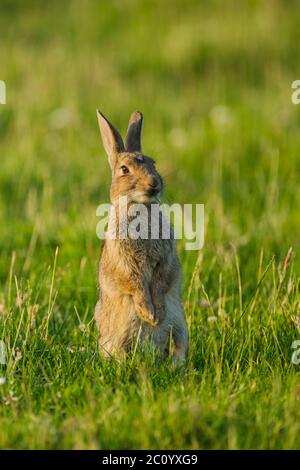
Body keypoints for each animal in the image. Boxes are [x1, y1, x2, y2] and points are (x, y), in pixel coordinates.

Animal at [94, 110, 188, 364]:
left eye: (153, 163)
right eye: (124, 170)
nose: (154, 184)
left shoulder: (165, 259)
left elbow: (160, 282)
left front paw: (157, 314)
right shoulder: (124, 262)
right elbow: (134, 282)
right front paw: (148, 314)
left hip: (181, 328)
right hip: (118, 335)